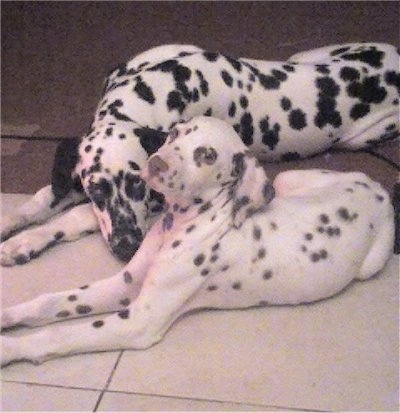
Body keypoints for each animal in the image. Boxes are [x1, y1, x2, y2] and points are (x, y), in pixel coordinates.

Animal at [0, 41, 398, 264]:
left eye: (139, 184)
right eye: (96, 188)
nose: (129, 248)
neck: (159, 84)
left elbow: (74, 217)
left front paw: (27, 241)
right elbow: (43, 197)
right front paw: (15, 224)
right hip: (304, 55)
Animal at [0, 116, 394, 364]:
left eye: (206, 154)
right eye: (175, 134)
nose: (155, 163)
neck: (180, 223)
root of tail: (376, 185)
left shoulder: (138, 320)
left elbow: (58, 335)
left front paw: (8, 350)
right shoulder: (124, 284)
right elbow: (49, 302)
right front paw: (7, 315)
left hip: (371, 263)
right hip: (287, 182)